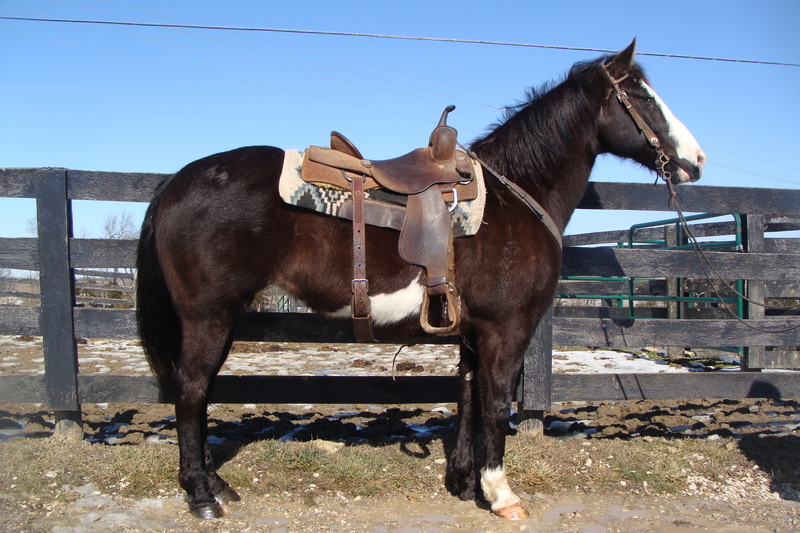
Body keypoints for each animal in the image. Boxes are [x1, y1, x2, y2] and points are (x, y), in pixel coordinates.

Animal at [135, 39, 705, 521]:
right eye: (640, 95)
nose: (696, 160)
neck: (514, 198)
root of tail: (175, 183)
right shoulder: (506, 331)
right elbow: (495, 404)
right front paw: (501, 494)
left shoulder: (474, 334)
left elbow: (468, 398)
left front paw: (464, 483)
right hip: (208, 316)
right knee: (191, 389)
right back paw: (202, 496)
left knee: (202, 390)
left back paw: (216, 484)